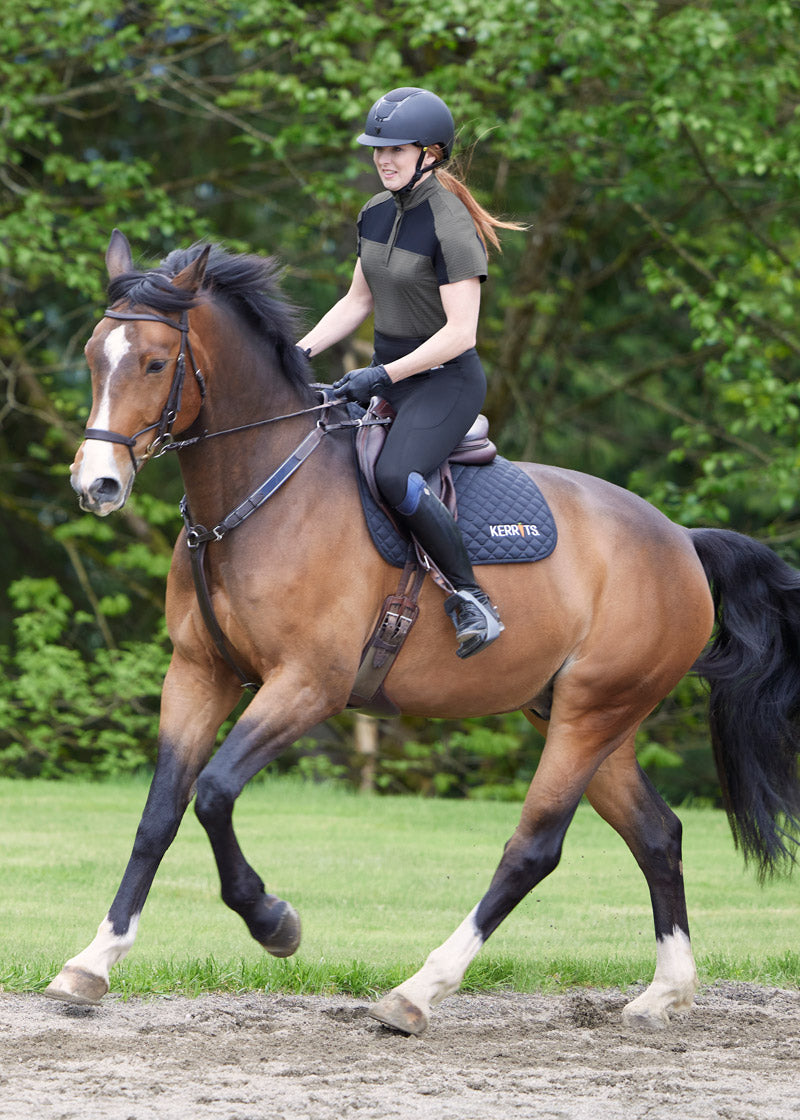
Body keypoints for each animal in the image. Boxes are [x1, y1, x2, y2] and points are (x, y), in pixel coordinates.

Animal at [51, 231, 797, 1034]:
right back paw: (666, 991)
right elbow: (158, 816)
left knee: (534, 847)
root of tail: (682, 542)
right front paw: (91, 963)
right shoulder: (198, 674)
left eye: (156, 362)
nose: (96, 484)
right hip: (590, 718)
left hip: (592, 714)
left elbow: (214, 794)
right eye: (93, 355)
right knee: (658, 833)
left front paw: (273, 921)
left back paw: (419, 990)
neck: (258, 495)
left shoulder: (307, 686)